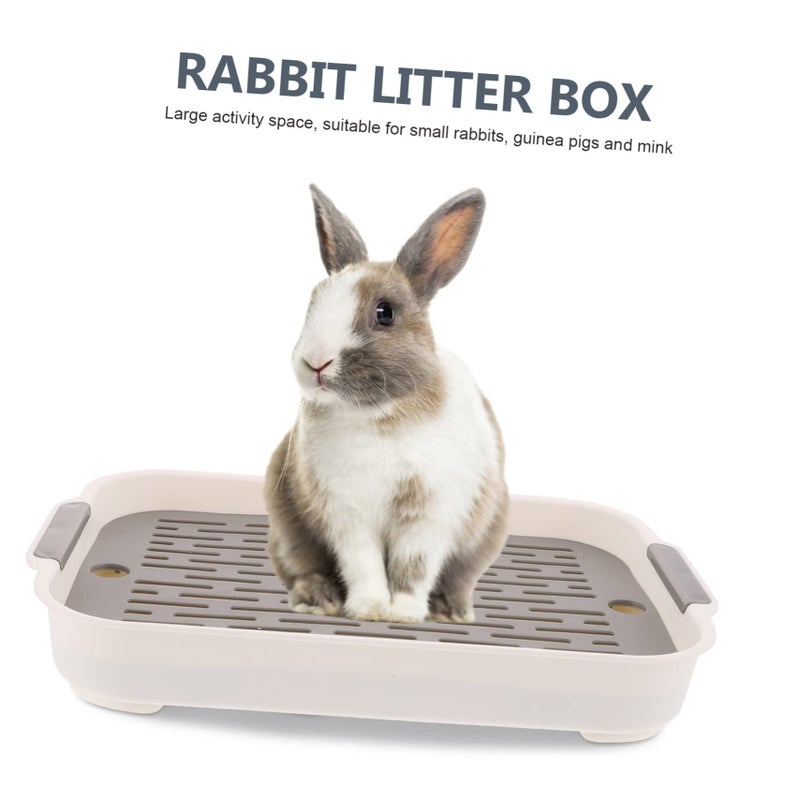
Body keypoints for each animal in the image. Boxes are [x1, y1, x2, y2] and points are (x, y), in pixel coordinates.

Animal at [264, 184, 508, 624]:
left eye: (385, 313)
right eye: (313, 303)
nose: (314, 362)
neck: (377, 414)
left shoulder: (428, 515)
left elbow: (414, 566)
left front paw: (405, 613)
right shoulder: (347, 514)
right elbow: (363, 564)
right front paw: (371, 609)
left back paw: (451, 612)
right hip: (287, 531)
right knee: (302, 568)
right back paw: (320, 600)